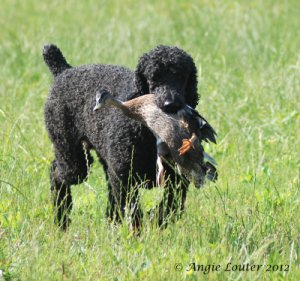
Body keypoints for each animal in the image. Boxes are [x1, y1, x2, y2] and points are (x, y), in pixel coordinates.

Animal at [43, 43, 199, 228]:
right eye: (153, 77)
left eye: (181, 76)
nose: (170, 104)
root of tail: (64, 70)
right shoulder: (125, 178)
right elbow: (134, 212)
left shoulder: (177, 179)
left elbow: (172, 206)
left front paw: (156, 218)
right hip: (72, 158)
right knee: (55, 172)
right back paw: (62, 218)